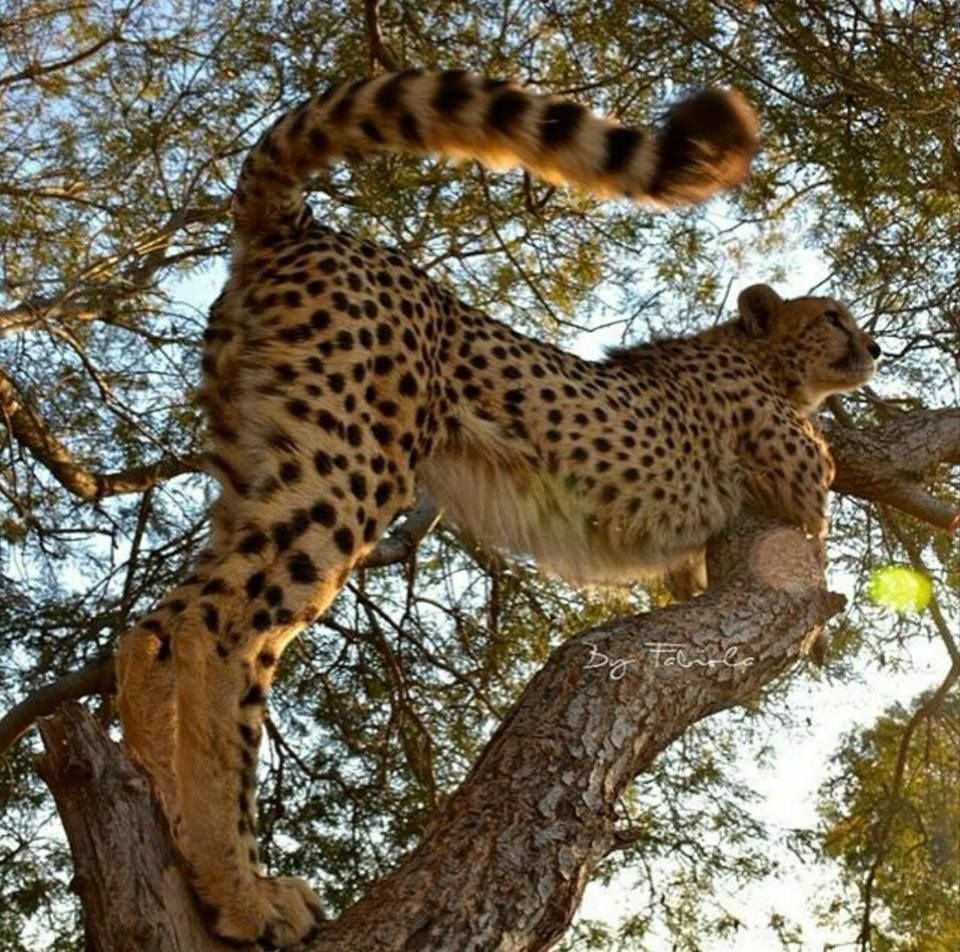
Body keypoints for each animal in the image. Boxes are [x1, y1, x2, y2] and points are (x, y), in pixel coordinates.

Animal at [114, 68, 880, 948]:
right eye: (832, 318)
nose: (875, 348)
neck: (758, 356)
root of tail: (308, 226)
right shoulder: (794, 470)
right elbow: (819, 495)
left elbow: (698, 572)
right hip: (349, 467)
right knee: (213, 632)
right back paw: (239, 888)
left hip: (258, 458)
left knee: (166, 628)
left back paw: (173, 819)